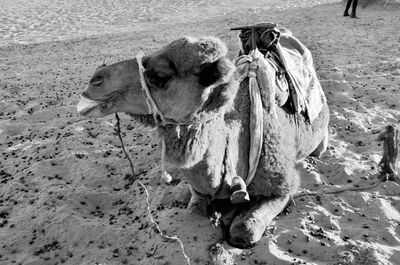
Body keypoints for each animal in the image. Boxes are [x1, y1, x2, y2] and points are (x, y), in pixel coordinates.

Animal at [76, 25, 330, 246]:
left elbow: (244, 230)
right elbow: (193, 213)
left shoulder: (283, 185)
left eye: (159, 76)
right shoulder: (199, 190)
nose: (95, 79)